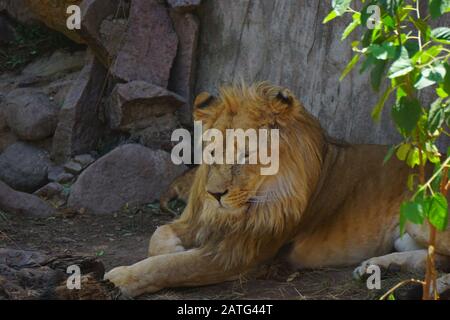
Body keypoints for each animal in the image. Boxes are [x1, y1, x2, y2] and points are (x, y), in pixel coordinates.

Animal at [105, 82, 450, 298]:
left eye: (245, 155)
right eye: (213, 153)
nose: (215, 195)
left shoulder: (240, 253)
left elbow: (170, 266)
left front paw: (120, 279)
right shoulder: (200, 221)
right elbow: (158, 237)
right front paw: (174, 247)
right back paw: (375, 267)